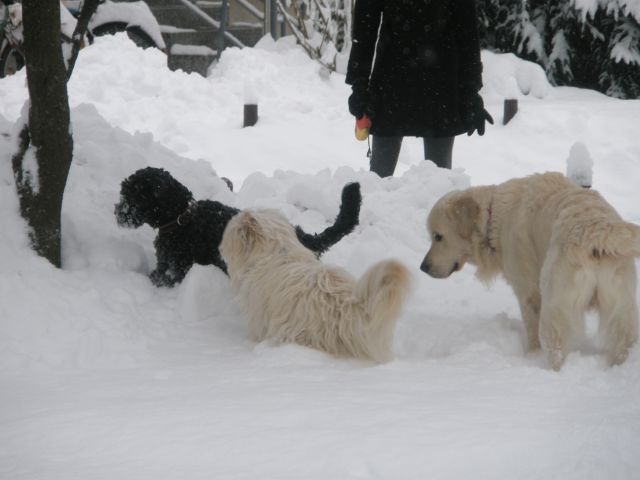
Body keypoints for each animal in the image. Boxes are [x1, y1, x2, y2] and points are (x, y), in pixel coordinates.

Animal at [420, 171, 640, 370]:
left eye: (438, 236)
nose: (423, 267)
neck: (494, 217)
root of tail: (595, 228)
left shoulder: (528, 292)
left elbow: (532, 330)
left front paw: (532, 355)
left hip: (555, 307)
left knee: (556, 349)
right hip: (621, 308)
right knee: (622, 341)